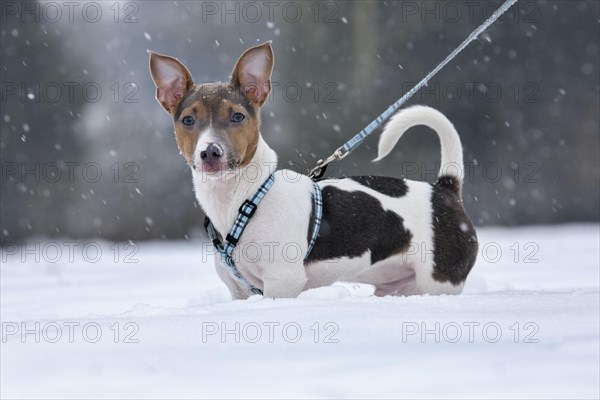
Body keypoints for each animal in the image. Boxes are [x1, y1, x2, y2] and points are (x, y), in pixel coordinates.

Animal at [150, 42, 478, 298]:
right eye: (188, 121)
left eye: (237, 117)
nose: (210, 152)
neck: (244, 198)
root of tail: (445, 189)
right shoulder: (240, 291)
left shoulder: (282, 282)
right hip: (401, 287)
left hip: (439, 283)